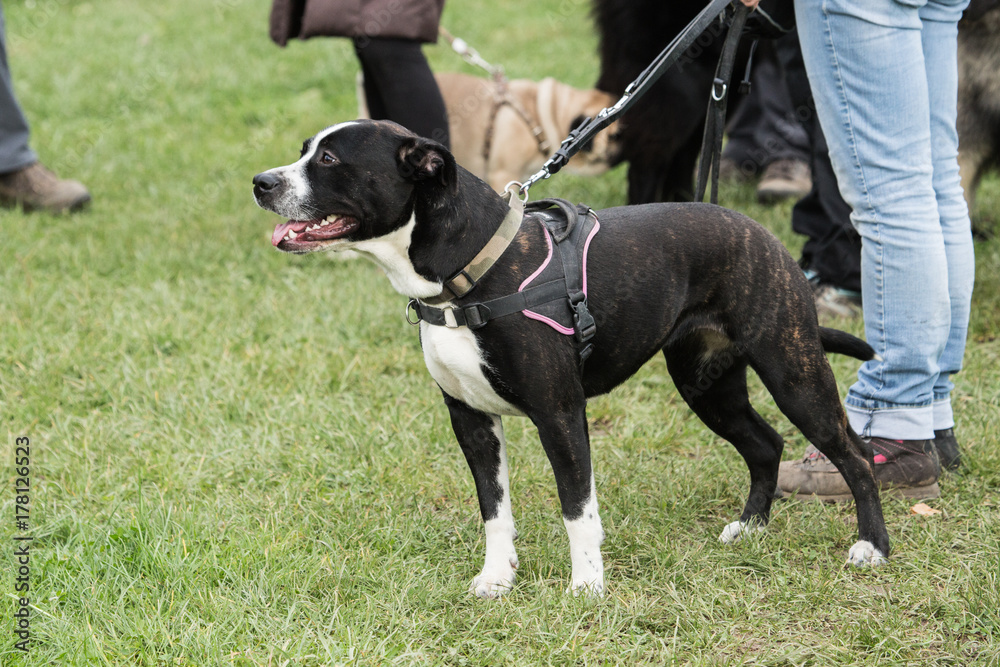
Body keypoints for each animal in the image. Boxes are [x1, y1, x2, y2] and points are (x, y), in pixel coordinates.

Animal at [254, 120, 896, 600]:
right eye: (304, 151)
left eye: (329, 158)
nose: (261, 181)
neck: (468, 270)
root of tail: (763, 235)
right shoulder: (470, 420)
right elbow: (494, 508)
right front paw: (496, 579)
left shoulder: (560, 415)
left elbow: (576, 507)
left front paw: (587, 587)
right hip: (706, 384)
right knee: (765, 444)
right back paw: (751, 528)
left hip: (792, 370)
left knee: (853, 453)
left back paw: (873, 547)